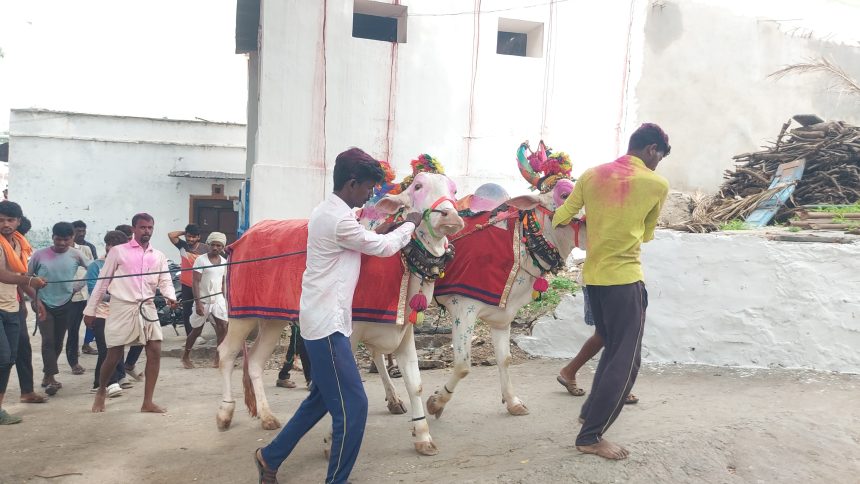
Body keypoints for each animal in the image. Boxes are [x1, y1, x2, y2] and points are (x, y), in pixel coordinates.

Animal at [428, 140, 588, 416]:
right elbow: (462, 365)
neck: (521, 245)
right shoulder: (462, 308)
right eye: (565, 194)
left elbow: (505, 358)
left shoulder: (502, 317)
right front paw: (436, 401)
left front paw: (513, 401)